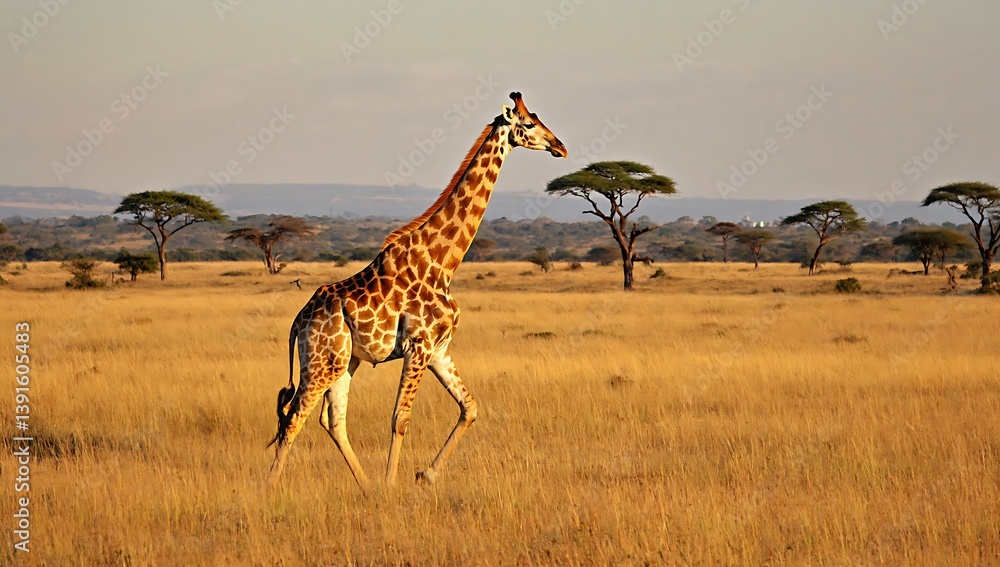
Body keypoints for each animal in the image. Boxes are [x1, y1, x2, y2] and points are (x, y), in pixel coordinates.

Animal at [267, 92, 567, 488]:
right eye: (529, 123)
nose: (560, 147)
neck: (442, 264)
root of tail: (298, 323)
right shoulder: (418, 346)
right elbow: (401, 419)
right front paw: (392, 485)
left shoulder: (439, 349)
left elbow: (470, 407)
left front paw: (425, 475)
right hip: (319, 361)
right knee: (293, 418)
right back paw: (269, 488)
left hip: (344, 361)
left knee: (332, 421)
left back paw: (365, 486)